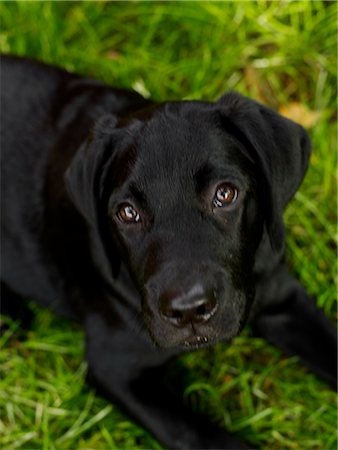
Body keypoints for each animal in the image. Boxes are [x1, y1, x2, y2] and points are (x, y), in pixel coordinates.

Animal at [1, 54, 336, 448]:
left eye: (225, 194)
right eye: (127, 212)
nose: (188, 310)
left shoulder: (280, 293)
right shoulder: (116, 365)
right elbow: (200, 436)